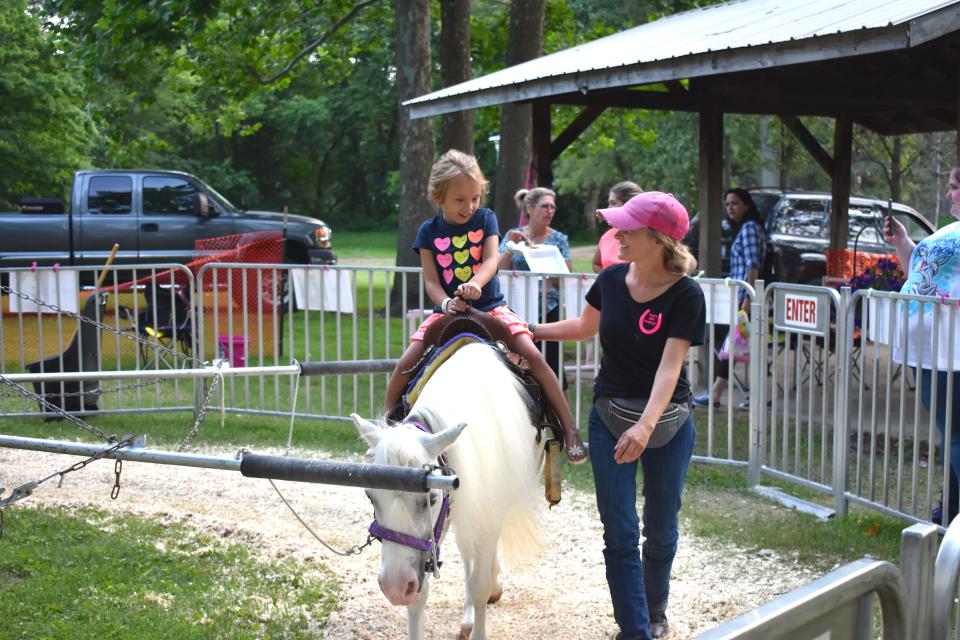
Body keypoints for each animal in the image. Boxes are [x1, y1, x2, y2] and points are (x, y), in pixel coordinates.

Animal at [352, 342, 548, 640]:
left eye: (431, 498)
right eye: (370, 496)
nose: (395, 587)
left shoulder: (489, 510)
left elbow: (479, 585)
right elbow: (421, 594)